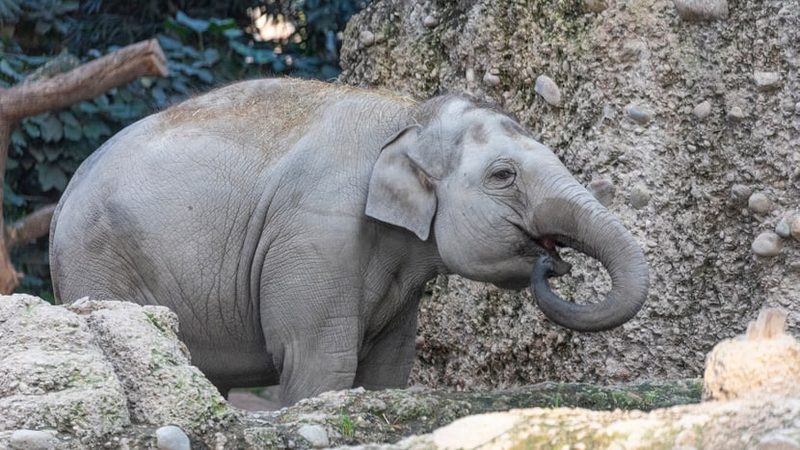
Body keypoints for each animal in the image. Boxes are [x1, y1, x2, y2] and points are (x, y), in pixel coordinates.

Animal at [49, 78, 649, 405]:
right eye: (503, 175)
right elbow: (319, 362)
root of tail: (64, 196)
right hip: (97, 262)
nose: (554, 259)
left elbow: (388, 370)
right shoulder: (316, 233)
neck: (407, 113)